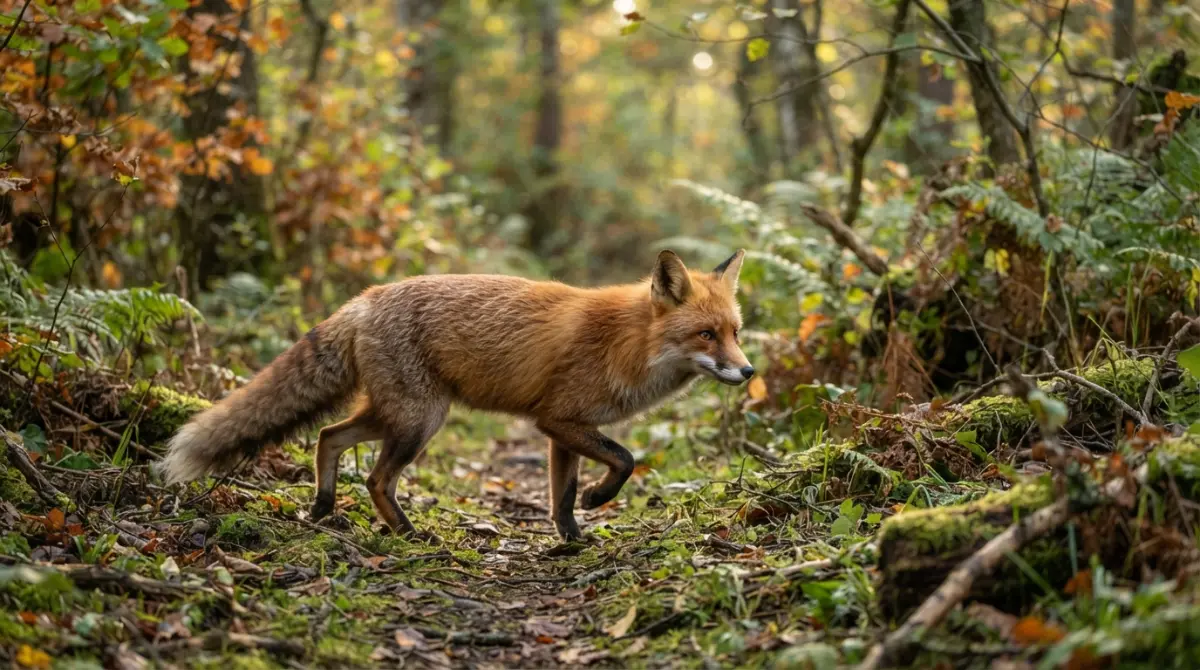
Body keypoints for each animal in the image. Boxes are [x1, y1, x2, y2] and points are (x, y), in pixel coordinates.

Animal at [158, 249, 754, 542]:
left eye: (735, 331)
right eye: (706, 335)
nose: (749, 371)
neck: (627, 342)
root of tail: (366, 297)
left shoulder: (563, 429)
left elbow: (560, 495)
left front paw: (572, 537)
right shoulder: (559, 420)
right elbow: (624, 460)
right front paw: (596, 501)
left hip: (396, 415)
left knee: (328, 435)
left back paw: (324, 506)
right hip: (420, 421)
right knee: (375, 478)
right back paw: (408, 534)